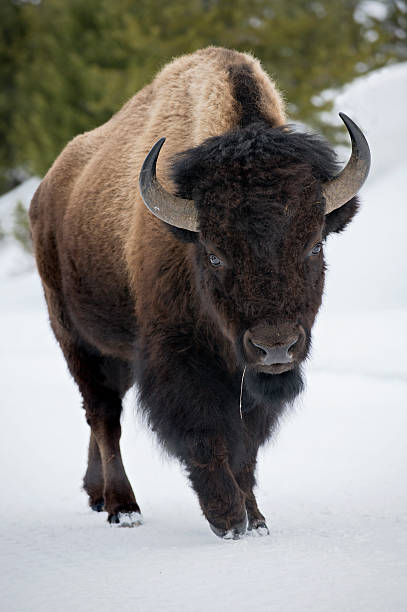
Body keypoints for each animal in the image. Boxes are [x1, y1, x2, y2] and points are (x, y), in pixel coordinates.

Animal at [30, 46, 372, 536]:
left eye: (315, 245)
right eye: (213, 255)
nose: (275, 347)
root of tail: (45, 192)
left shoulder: (249, 380)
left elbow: (247, 446)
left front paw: (256, 519)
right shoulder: (179, 356)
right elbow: (204, 433)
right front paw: (227, 517)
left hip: (118, 354)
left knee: (102, 415)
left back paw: (96, 496)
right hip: (76, 339)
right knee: (104, 415)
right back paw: (122, 507)